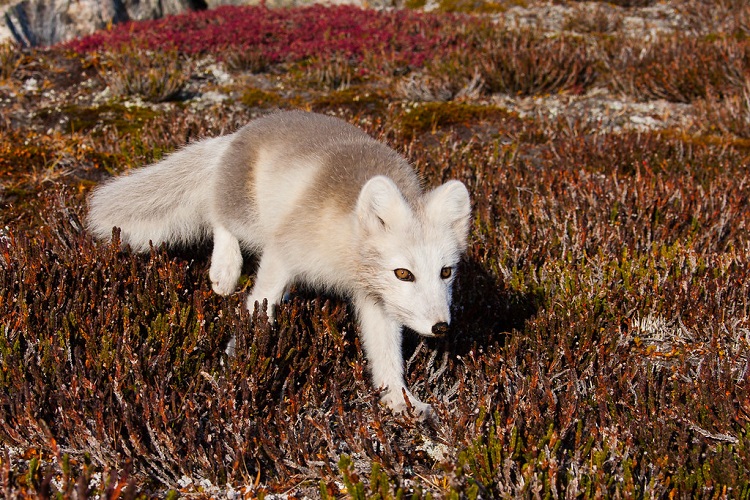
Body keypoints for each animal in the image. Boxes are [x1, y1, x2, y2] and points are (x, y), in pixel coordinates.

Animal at [88, 110, 472, 418]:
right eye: (404, 273)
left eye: (446, 272)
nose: (441, 327)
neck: (344, 255)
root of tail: (237, 133)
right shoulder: (283, 251)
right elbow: (260, 302)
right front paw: (238, 363)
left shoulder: (376, 298)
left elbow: (386, 353)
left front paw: (400, 400)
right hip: (249, 217)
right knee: (218, 215)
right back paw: (225, 270)